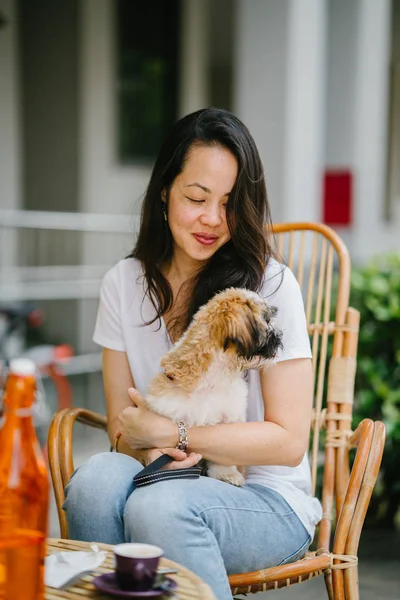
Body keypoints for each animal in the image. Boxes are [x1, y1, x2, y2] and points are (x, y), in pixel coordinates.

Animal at [145, 288, 282, 488]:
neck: (213, 380)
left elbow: (223, 457)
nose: (280, 335)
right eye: (267, 320)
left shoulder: (228, 421)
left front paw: (227, 475)